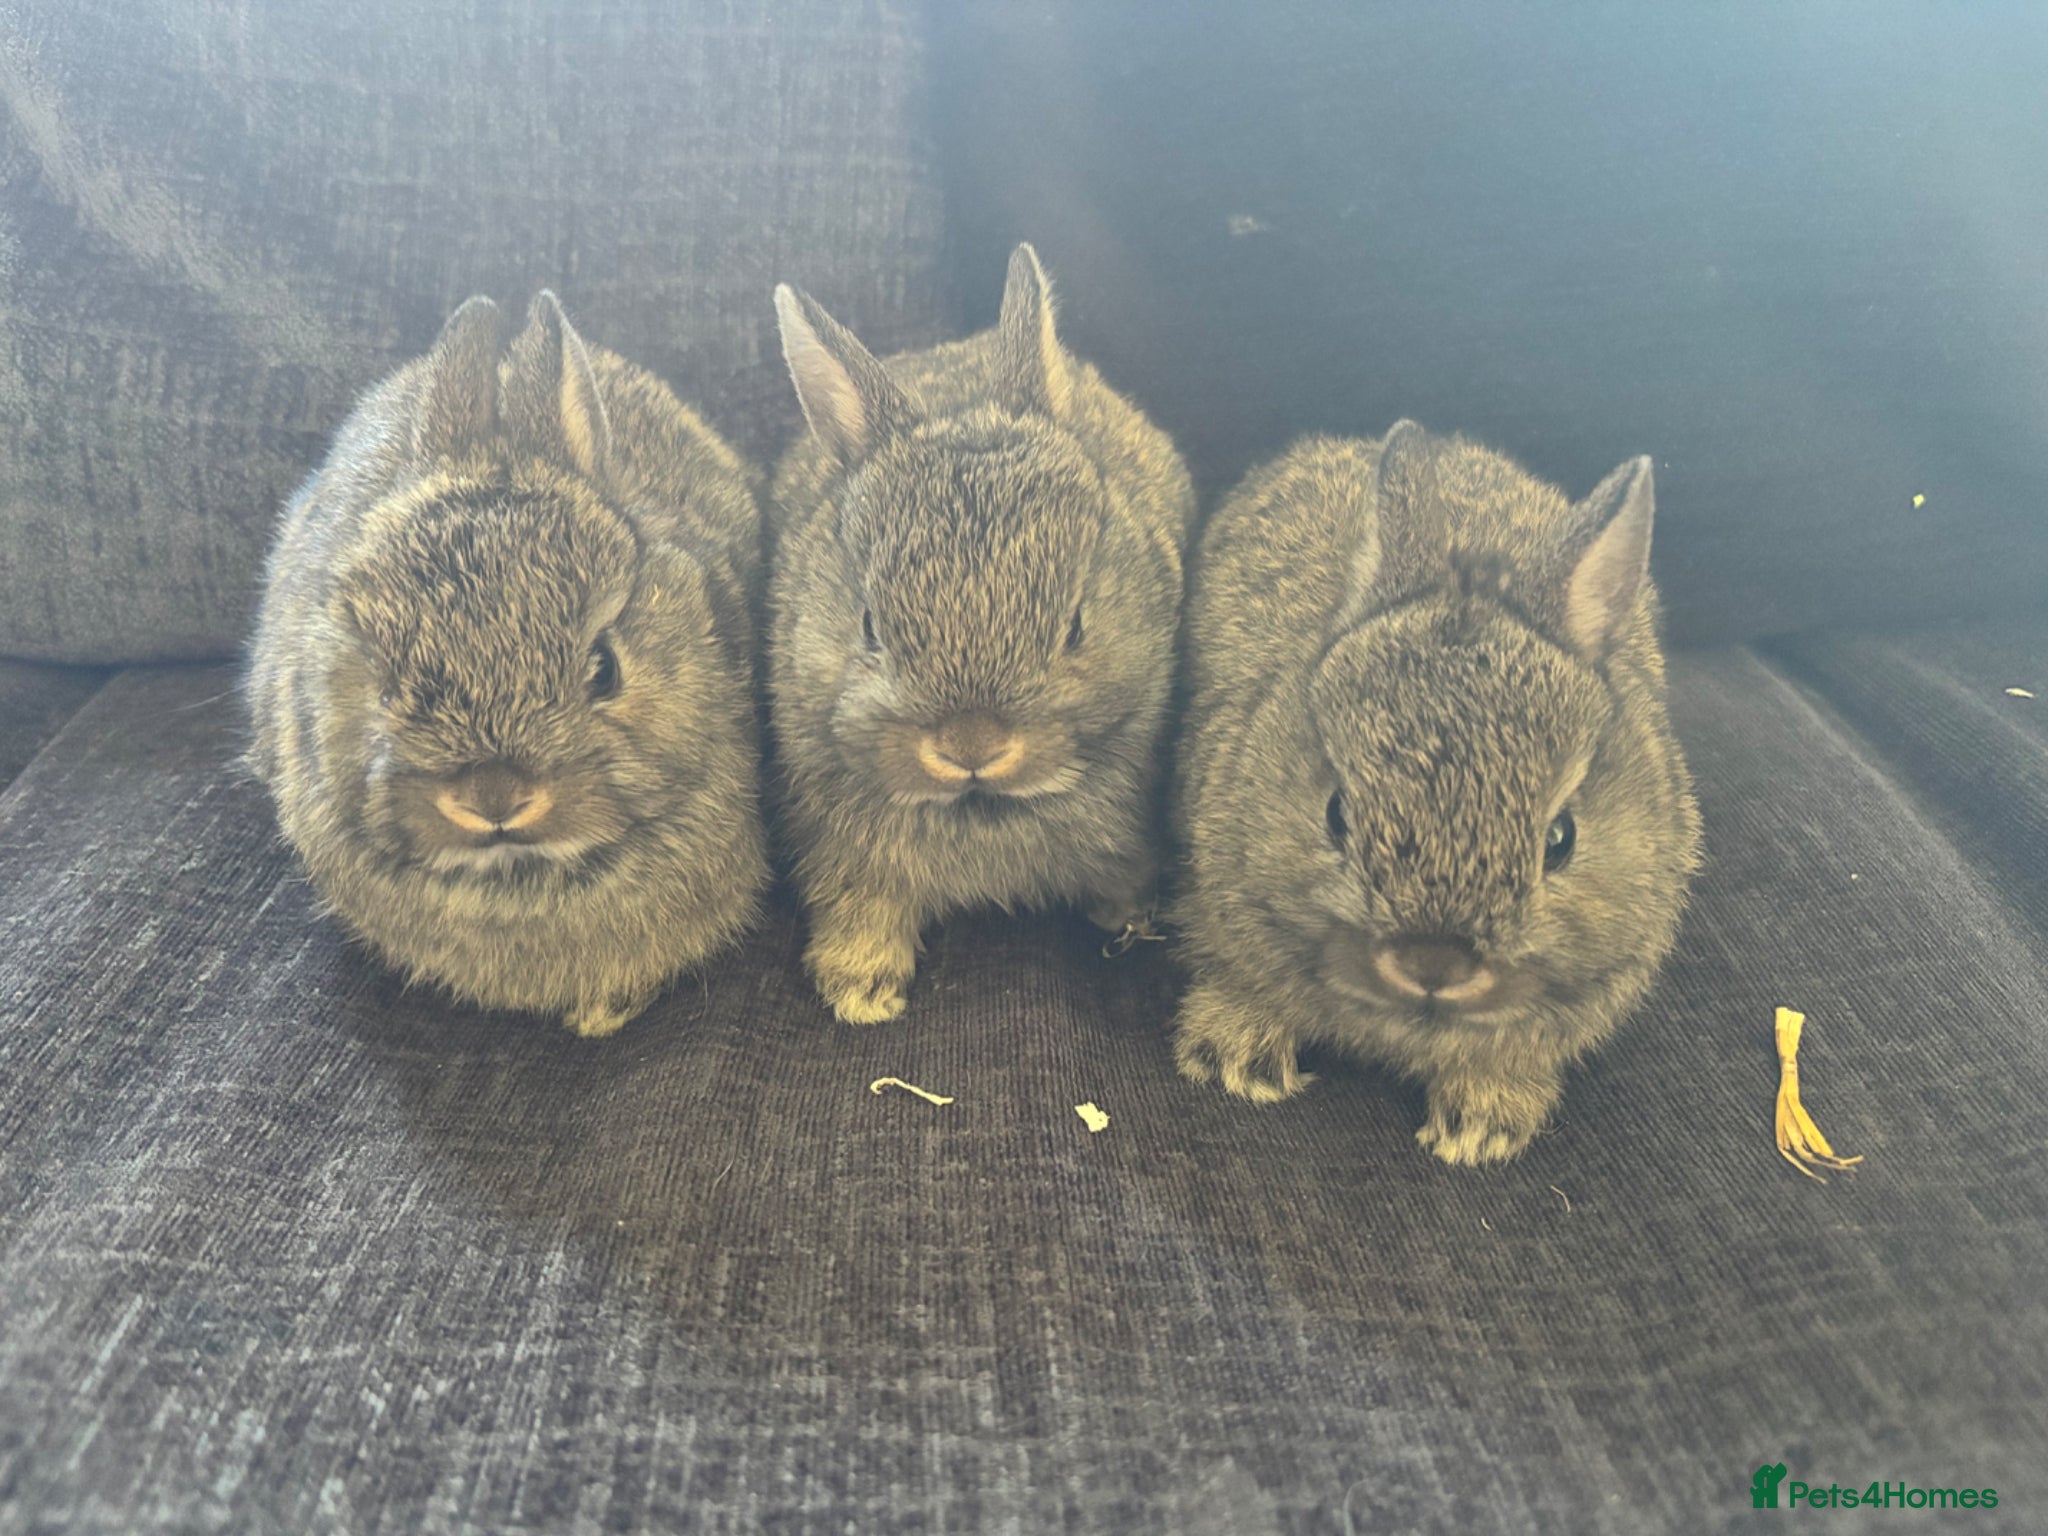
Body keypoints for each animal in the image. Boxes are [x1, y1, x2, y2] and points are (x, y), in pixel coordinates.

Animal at [766, 244, 1195, 1024]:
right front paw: (862, 991)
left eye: (1075, 626)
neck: (981, 805)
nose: (972, 746)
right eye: (869, 626)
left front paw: (1126, 913)